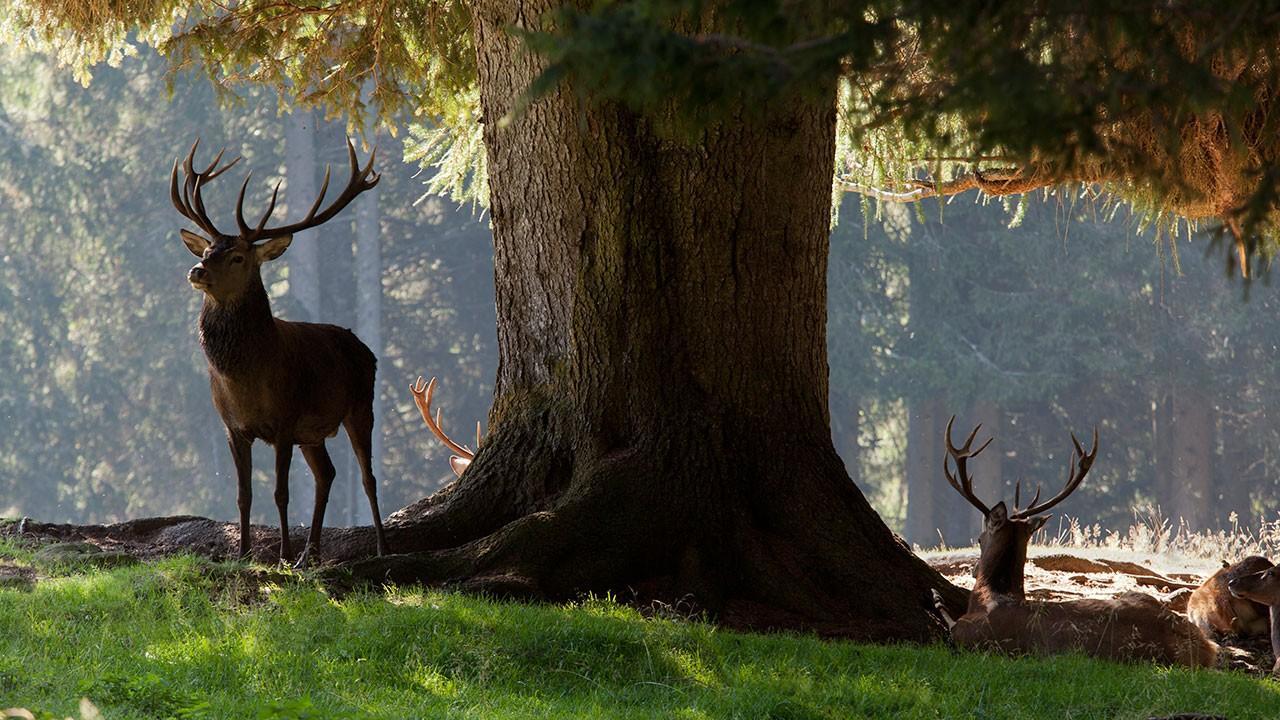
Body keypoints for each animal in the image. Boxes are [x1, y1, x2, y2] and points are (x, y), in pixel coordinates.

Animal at [172, 137, 389, 563]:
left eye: (237, 256)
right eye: (205, 252)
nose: (196, 271)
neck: (244, 379)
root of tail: (364, 347)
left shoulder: (285, 421)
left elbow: (281, 493)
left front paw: (284, 555)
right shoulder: (233, 428)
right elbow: (243, 494)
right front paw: (243, 553)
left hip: (360, 405)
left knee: (368, 476)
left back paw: (378, 547)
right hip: (313, 433)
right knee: (327, 474)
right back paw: (312, 553)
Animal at [936, 417, 1213, 666]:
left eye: (980, 538)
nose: (972, 569)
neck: (991, 598)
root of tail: (1204, 648)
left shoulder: (966, 633)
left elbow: (948, 622)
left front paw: (936, 596)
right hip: (1140, 595)